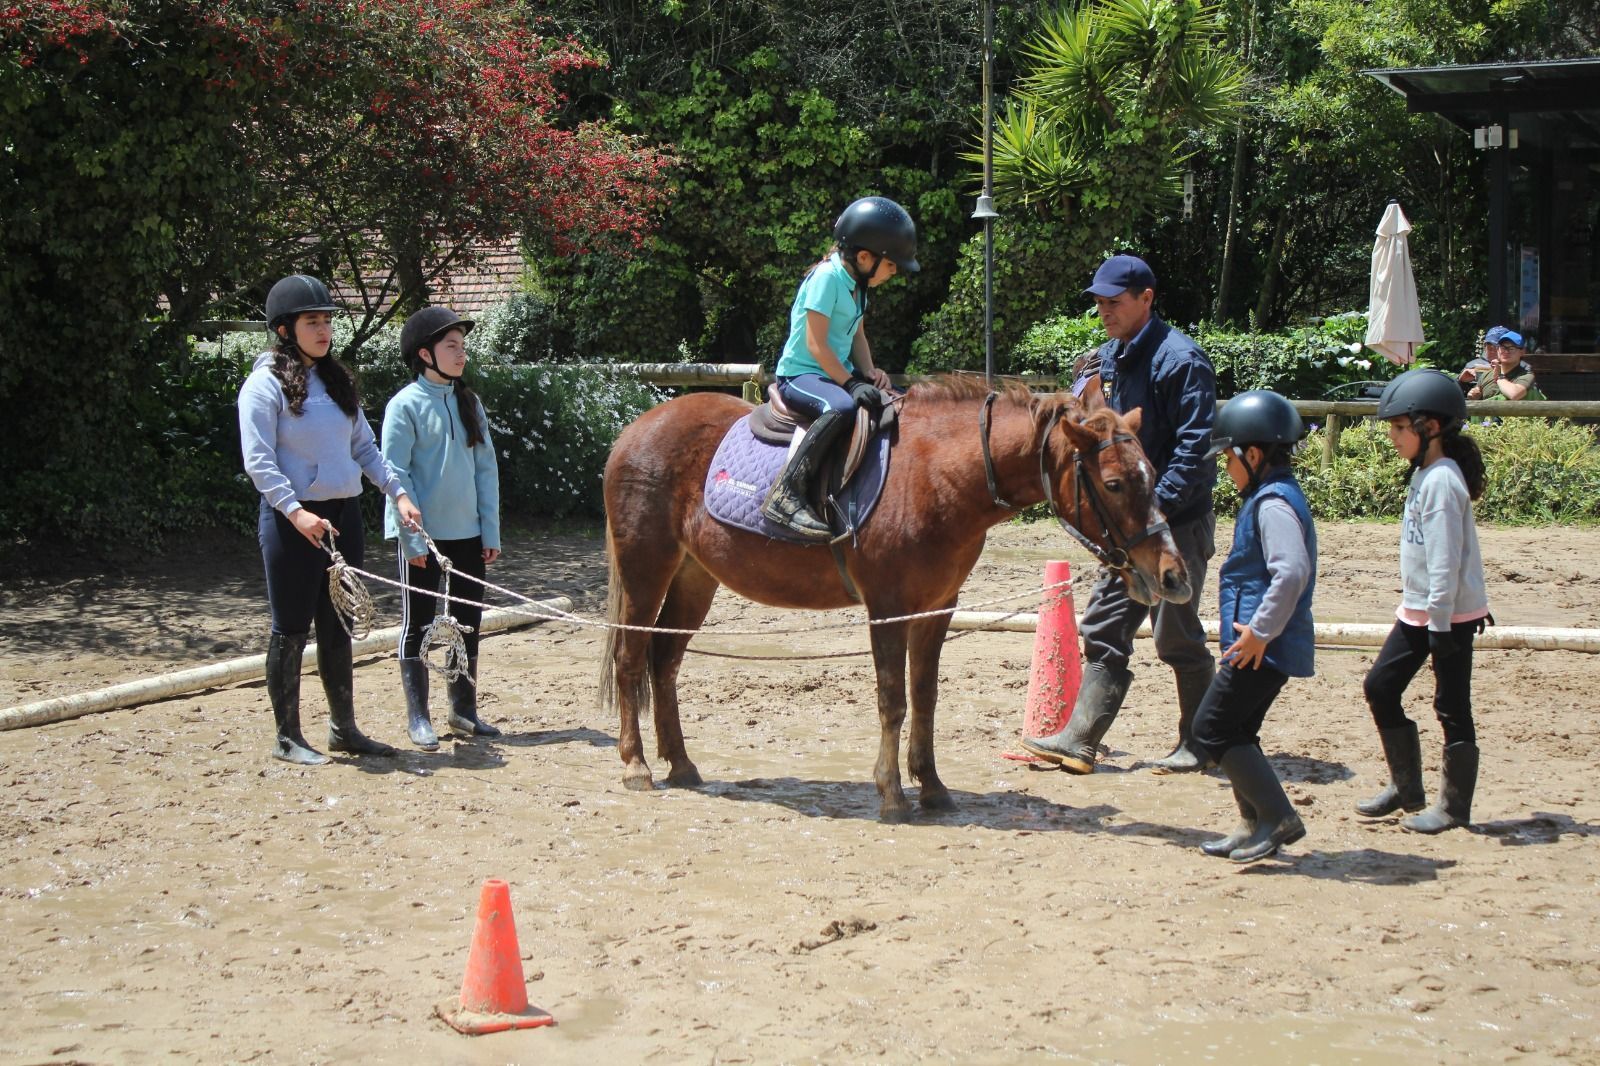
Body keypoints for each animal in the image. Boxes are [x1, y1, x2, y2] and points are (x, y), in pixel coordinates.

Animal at [598, 375, 1191, 821]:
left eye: (1152, 473)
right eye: (1113, 484)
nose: (1172, 575)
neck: (936, 475)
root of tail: (634, 428)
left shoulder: (938, 607)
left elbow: (925, 696)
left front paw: (931, 786)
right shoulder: (888, 607)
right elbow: (892, 698)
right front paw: (890, 793)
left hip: (695, 577)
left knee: (664, 663)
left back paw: (680, 764)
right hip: (647, 569)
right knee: (630, 659)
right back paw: (636, 767)